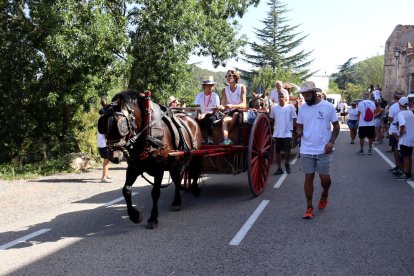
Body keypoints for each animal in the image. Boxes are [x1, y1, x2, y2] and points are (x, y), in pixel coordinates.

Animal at [97, 90, 201, 229]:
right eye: (102, 126)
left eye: (120, 126)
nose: (113, 156)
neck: (147, 133)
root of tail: (190, 118)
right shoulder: (133, 168)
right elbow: (126, 190)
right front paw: (135, 215)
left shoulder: (159, 169)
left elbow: (155, 193)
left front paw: (153, 218)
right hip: (175, 162)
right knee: (177, 179)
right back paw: (176, 202)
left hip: (194, 154)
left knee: (194, 171)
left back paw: (194, 190)